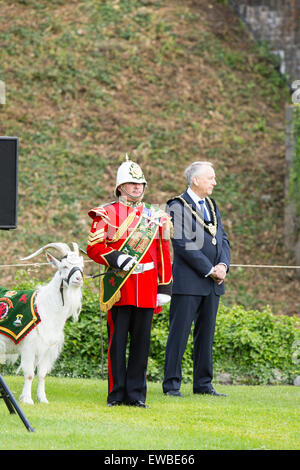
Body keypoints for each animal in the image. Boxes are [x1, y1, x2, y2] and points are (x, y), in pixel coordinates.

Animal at [0, 242, 83, 404]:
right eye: (64, 266)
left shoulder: (47, 348)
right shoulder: (29, 347)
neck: (44, 306)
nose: (78, 279)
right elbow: (29, 374)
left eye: (81, 266)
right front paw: (27, 399)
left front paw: (42, 398)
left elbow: (42, 374)